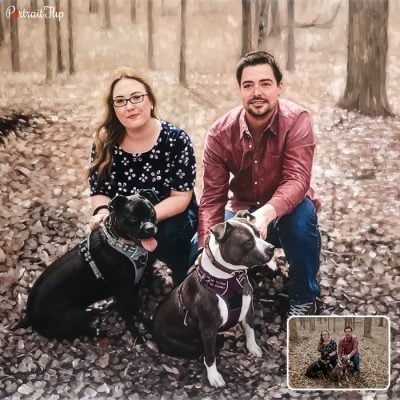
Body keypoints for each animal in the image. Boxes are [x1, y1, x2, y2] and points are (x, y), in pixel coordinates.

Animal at [12, 194, 156, 340]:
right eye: (133, 219)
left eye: (152, 214)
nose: (150, 228)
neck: (122, 245)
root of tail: (29, 317)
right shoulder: (124, 292)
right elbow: (129, 316)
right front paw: (137, 336)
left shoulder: (134, 286)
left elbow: (135, 308)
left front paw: (144, 321)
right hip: (72, 317)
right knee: (81, 331)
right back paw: (104, 333)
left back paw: (98, 310)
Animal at [152, 212, 276, 388]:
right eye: (248, 241)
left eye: (259, 234)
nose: (271, 248)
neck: (231, 278)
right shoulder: (208, 329)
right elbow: (210, 356)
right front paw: (214, 376)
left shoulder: (248, 310)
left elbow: (250, 330)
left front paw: (253, 347)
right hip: (185, 345)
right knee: (202, 351)